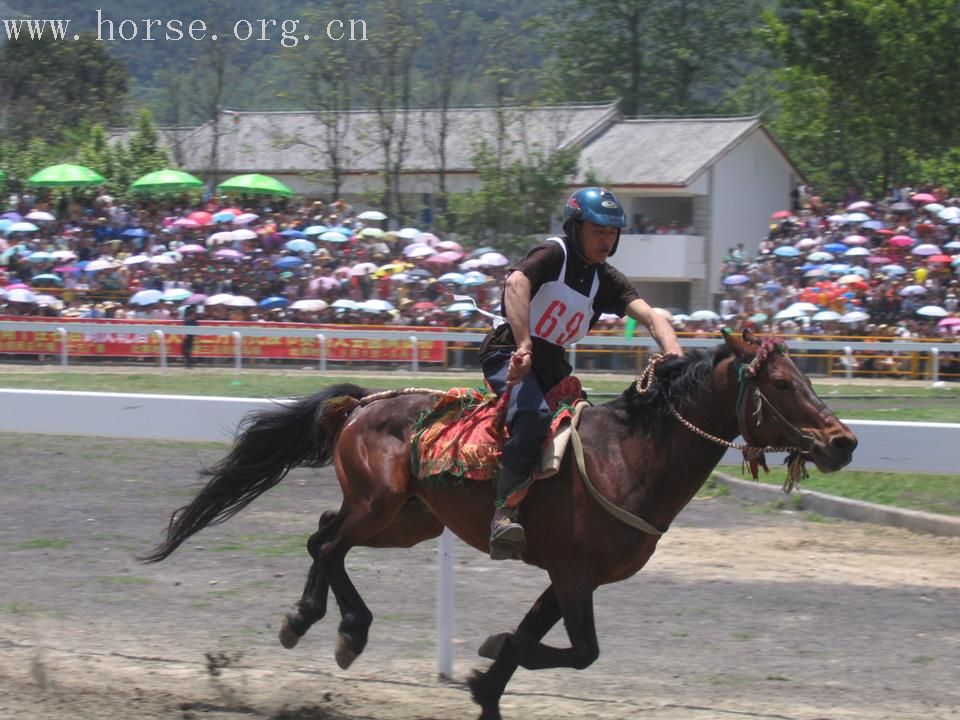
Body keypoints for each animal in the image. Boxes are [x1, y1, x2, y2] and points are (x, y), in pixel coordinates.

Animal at [142, 330, 856, 716]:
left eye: (802, 375)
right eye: (783, 385)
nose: (843, 442)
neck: (629, 456)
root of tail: (364, 403)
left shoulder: (569, 578)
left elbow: (537, 639)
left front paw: (486, 684)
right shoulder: (572, 575)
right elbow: (578, 650)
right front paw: (488, 653)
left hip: (407, 520)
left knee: (323, 533)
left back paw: (318, 621)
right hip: (380, 505)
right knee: (328, 543)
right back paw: (336, 627)